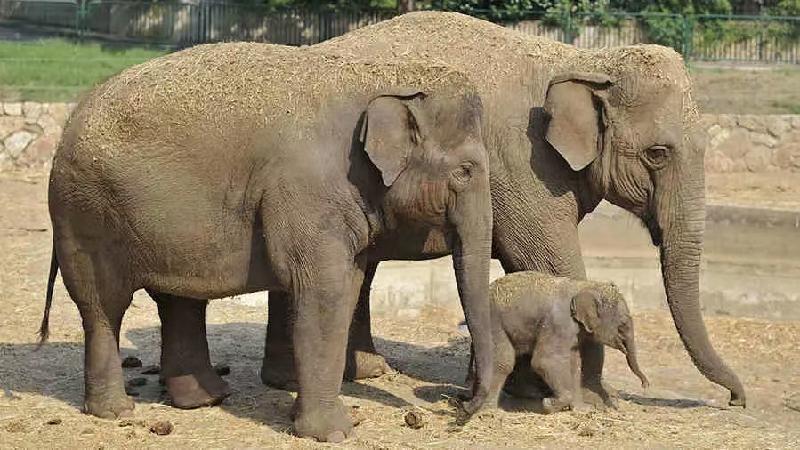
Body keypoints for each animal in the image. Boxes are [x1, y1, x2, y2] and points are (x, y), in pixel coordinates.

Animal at [39, 43, 497, 442]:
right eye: (466, 171)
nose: (460, 404)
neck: (384, 74)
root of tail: (66, 126)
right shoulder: (308, 189)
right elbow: (325, 291)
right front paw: (334, 434)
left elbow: (344, 286)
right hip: (85, 214)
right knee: (103, 306)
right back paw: (115, 411)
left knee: (178, 300)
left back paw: (205, 400)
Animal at [468, 271, 649, 413]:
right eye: (622, 325)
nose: (645, 385)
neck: (584, 286)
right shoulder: (558, 323)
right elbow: (544, 361)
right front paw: (548, 404)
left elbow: (573, 364)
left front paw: (582, 410)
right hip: (492, 322)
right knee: (503, 361)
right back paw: (488, 411)